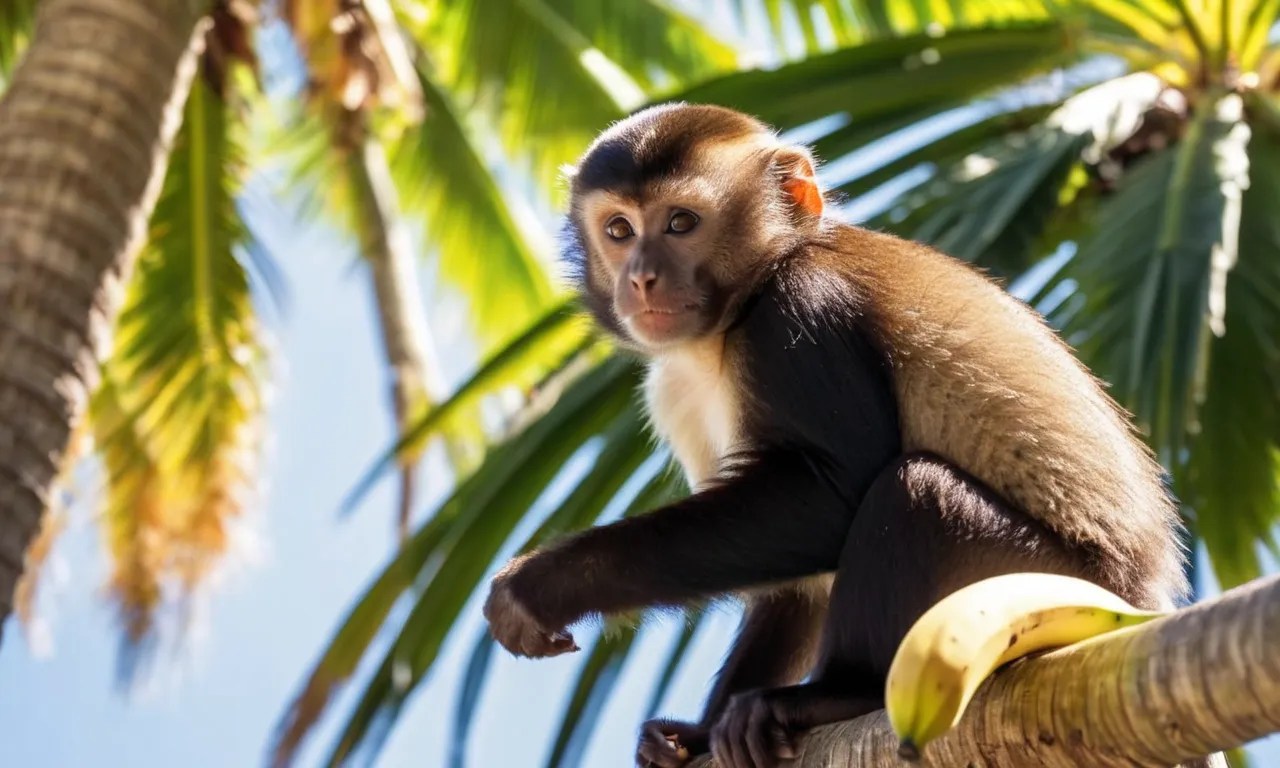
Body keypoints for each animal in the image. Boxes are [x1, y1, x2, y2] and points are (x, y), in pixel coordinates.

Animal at [481, 102, 1192, 768]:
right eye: (619, 230)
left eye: (680, 223)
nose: (641, 277)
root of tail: (1142, 602)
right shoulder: (675, 393)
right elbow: (795, 580)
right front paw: (699, 736)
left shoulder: (802, 312)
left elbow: (830, 499)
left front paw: (548, 583)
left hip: (1045, 581)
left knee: (917, 491)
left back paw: (847, 692)